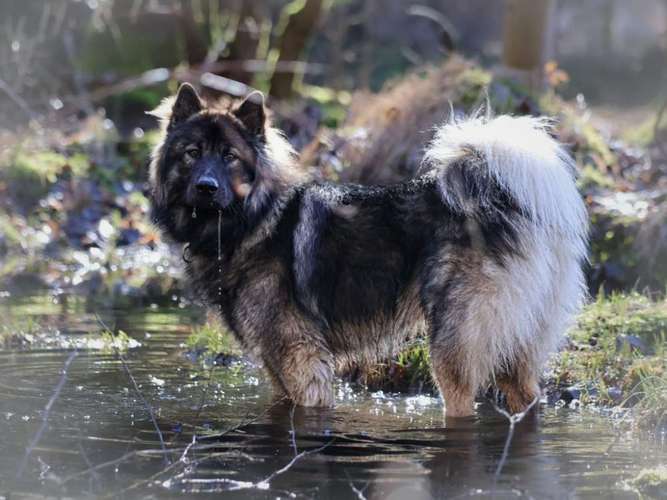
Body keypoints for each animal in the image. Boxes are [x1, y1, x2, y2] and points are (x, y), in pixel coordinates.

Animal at [149, 85, 588, 418]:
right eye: (192, 153)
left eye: (229, 156)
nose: (206, 187)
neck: (254, 220)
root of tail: (508, 203)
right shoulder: (278, 367)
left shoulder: (300, 359)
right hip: (515, 351)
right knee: (528, 399)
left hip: (454, 345)